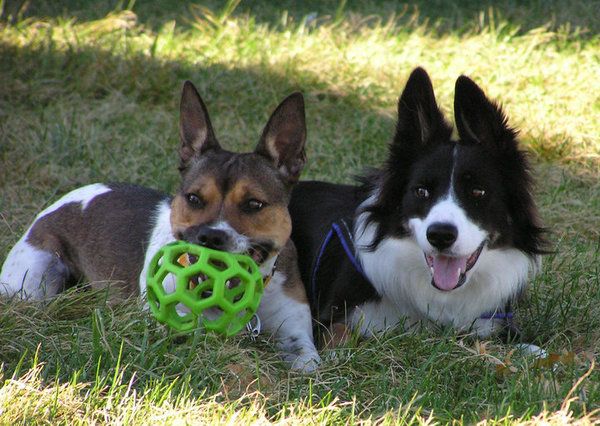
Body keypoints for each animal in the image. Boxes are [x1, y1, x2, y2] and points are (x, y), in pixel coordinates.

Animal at [0, 81, 320, 372]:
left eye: (254, 204)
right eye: (193, 198)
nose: (211, 236)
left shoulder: (296, 335)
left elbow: (308, 363)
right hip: (34, 280)